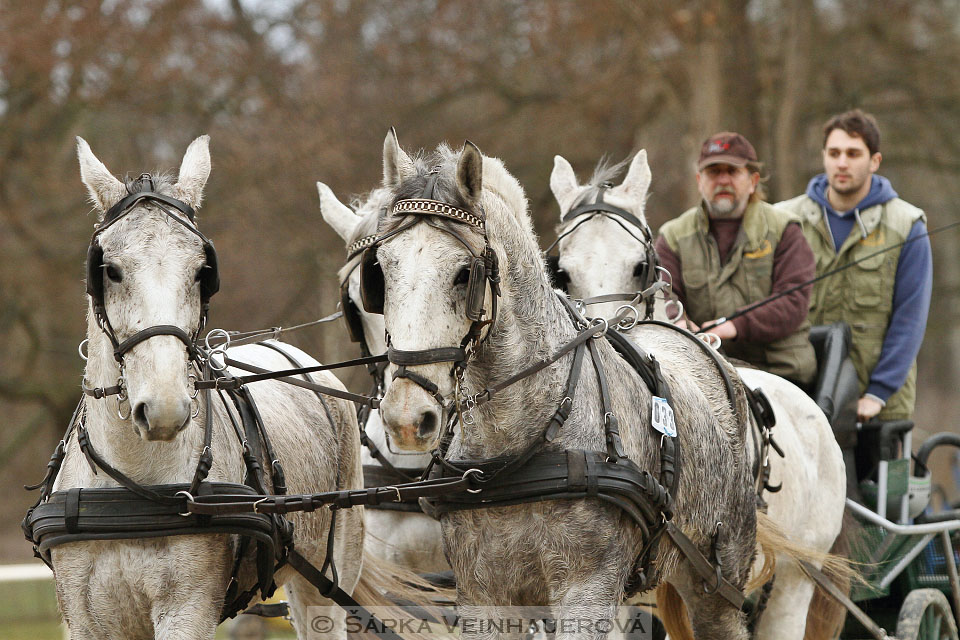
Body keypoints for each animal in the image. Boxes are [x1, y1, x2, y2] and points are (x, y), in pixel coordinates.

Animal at [41, 136, 418, 640]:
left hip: (326, 577)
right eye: (110, 270)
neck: (133, 481)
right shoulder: (84, 616)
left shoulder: (188, 608)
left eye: (202, 270)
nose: (163, 407)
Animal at [374, 132, 764, 636]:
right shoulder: (483, 594)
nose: (406, 417)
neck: (514, 445)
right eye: (380, 270)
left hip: (718, 584)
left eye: (464, 273)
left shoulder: (587, 591)